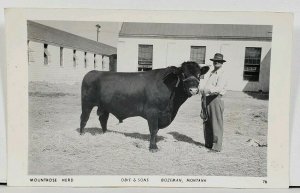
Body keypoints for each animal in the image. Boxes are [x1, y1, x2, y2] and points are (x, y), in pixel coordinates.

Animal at [81, 61, 210, 152]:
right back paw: (82, 134)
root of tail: (92, 72)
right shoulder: (152, 112)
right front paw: (153, 147)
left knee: (103, 119)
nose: (194, 90)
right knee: (84, 118)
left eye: (199, 74)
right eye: (183, 74)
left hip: (105, 106)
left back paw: (105, 133)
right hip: (87, 103)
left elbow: (156, 130)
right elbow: (153, 129)